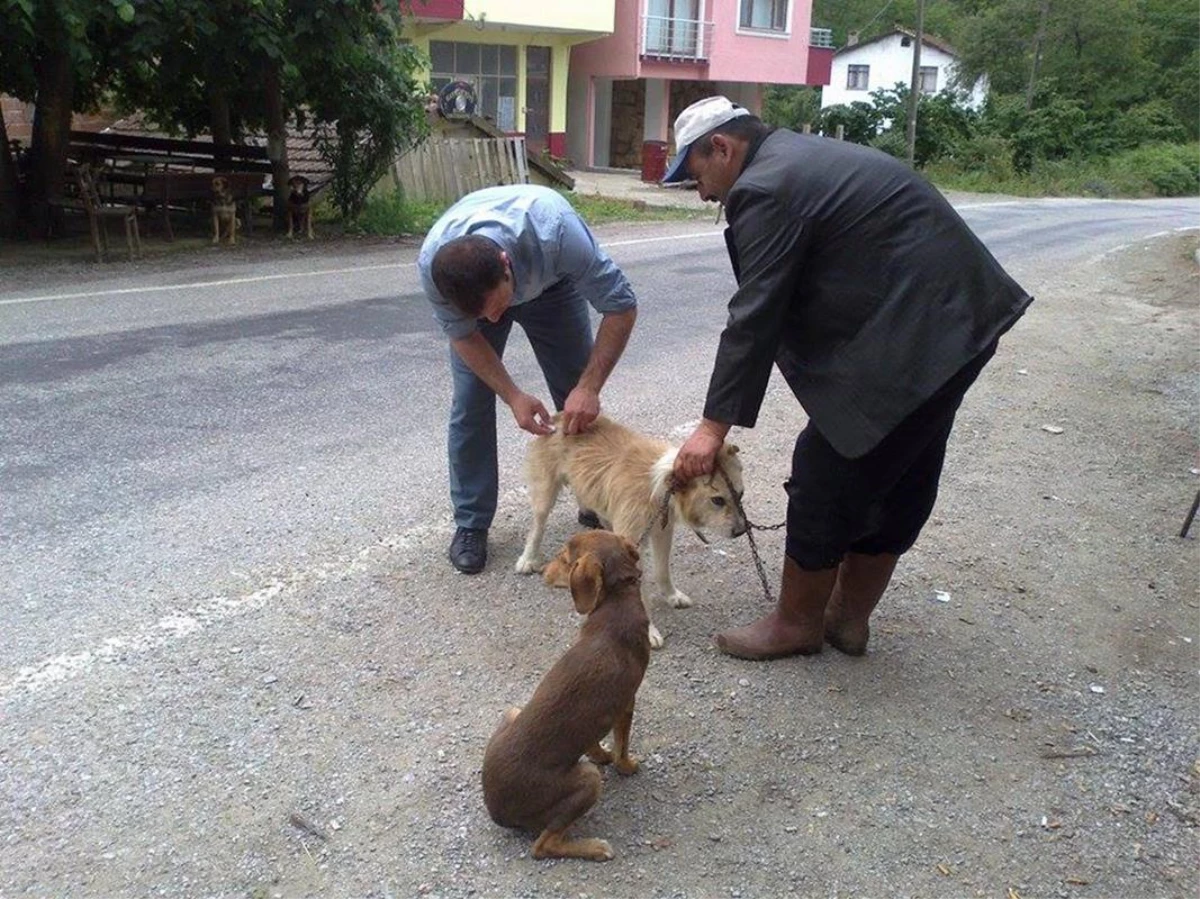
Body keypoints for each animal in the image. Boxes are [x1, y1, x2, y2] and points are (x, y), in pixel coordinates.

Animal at [480, 530, 652, 859]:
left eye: (563, 559)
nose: (542, 572)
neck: (617, 599)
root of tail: (497, 812)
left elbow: (593, 741)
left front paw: (601, 753)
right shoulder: (626, 704)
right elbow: (622, 747)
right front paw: (625, 765)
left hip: (512, 711)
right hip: (587, 779)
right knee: (543, 846)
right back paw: (595, 848)